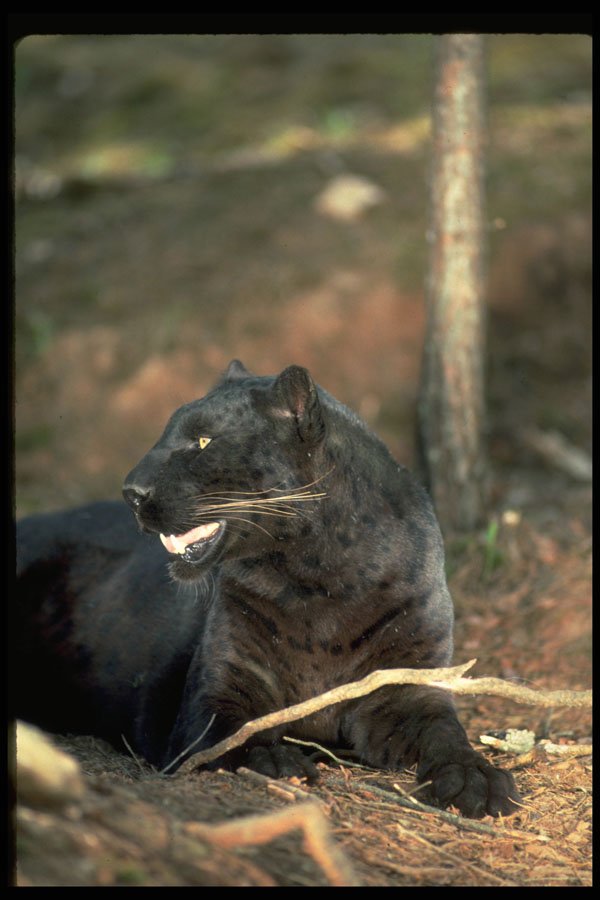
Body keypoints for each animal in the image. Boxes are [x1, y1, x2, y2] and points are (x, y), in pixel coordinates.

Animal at [15, 360, 520, 817]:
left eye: (203, 441)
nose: (131, 492)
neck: (316, 581)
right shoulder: (222, 690)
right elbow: (232, 737)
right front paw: (276, 760)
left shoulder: (407, 688)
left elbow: (446, 734)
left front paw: (475, 779)